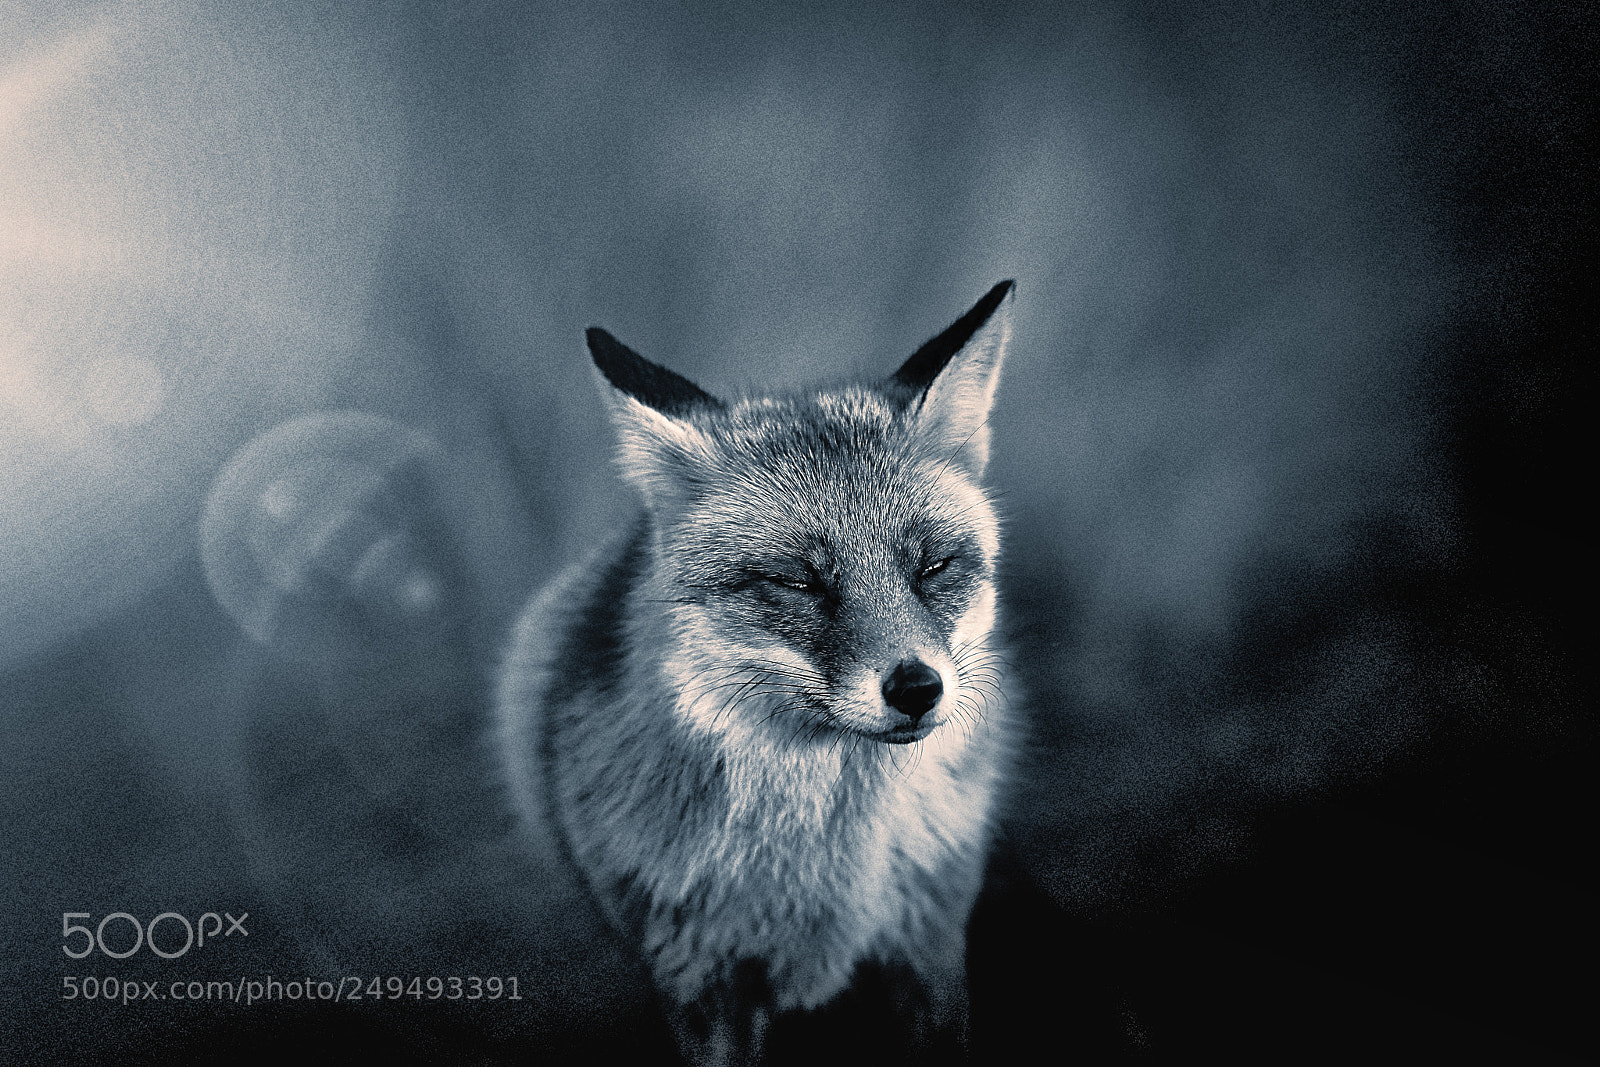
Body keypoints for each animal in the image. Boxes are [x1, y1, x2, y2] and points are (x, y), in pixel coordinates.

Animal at [496, 280, 1017, 1064]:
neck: (823, 872)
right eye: (798, 582)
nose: (917, 688)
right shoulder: (697, 971)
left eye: (933, 567)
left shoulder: (927, 944)